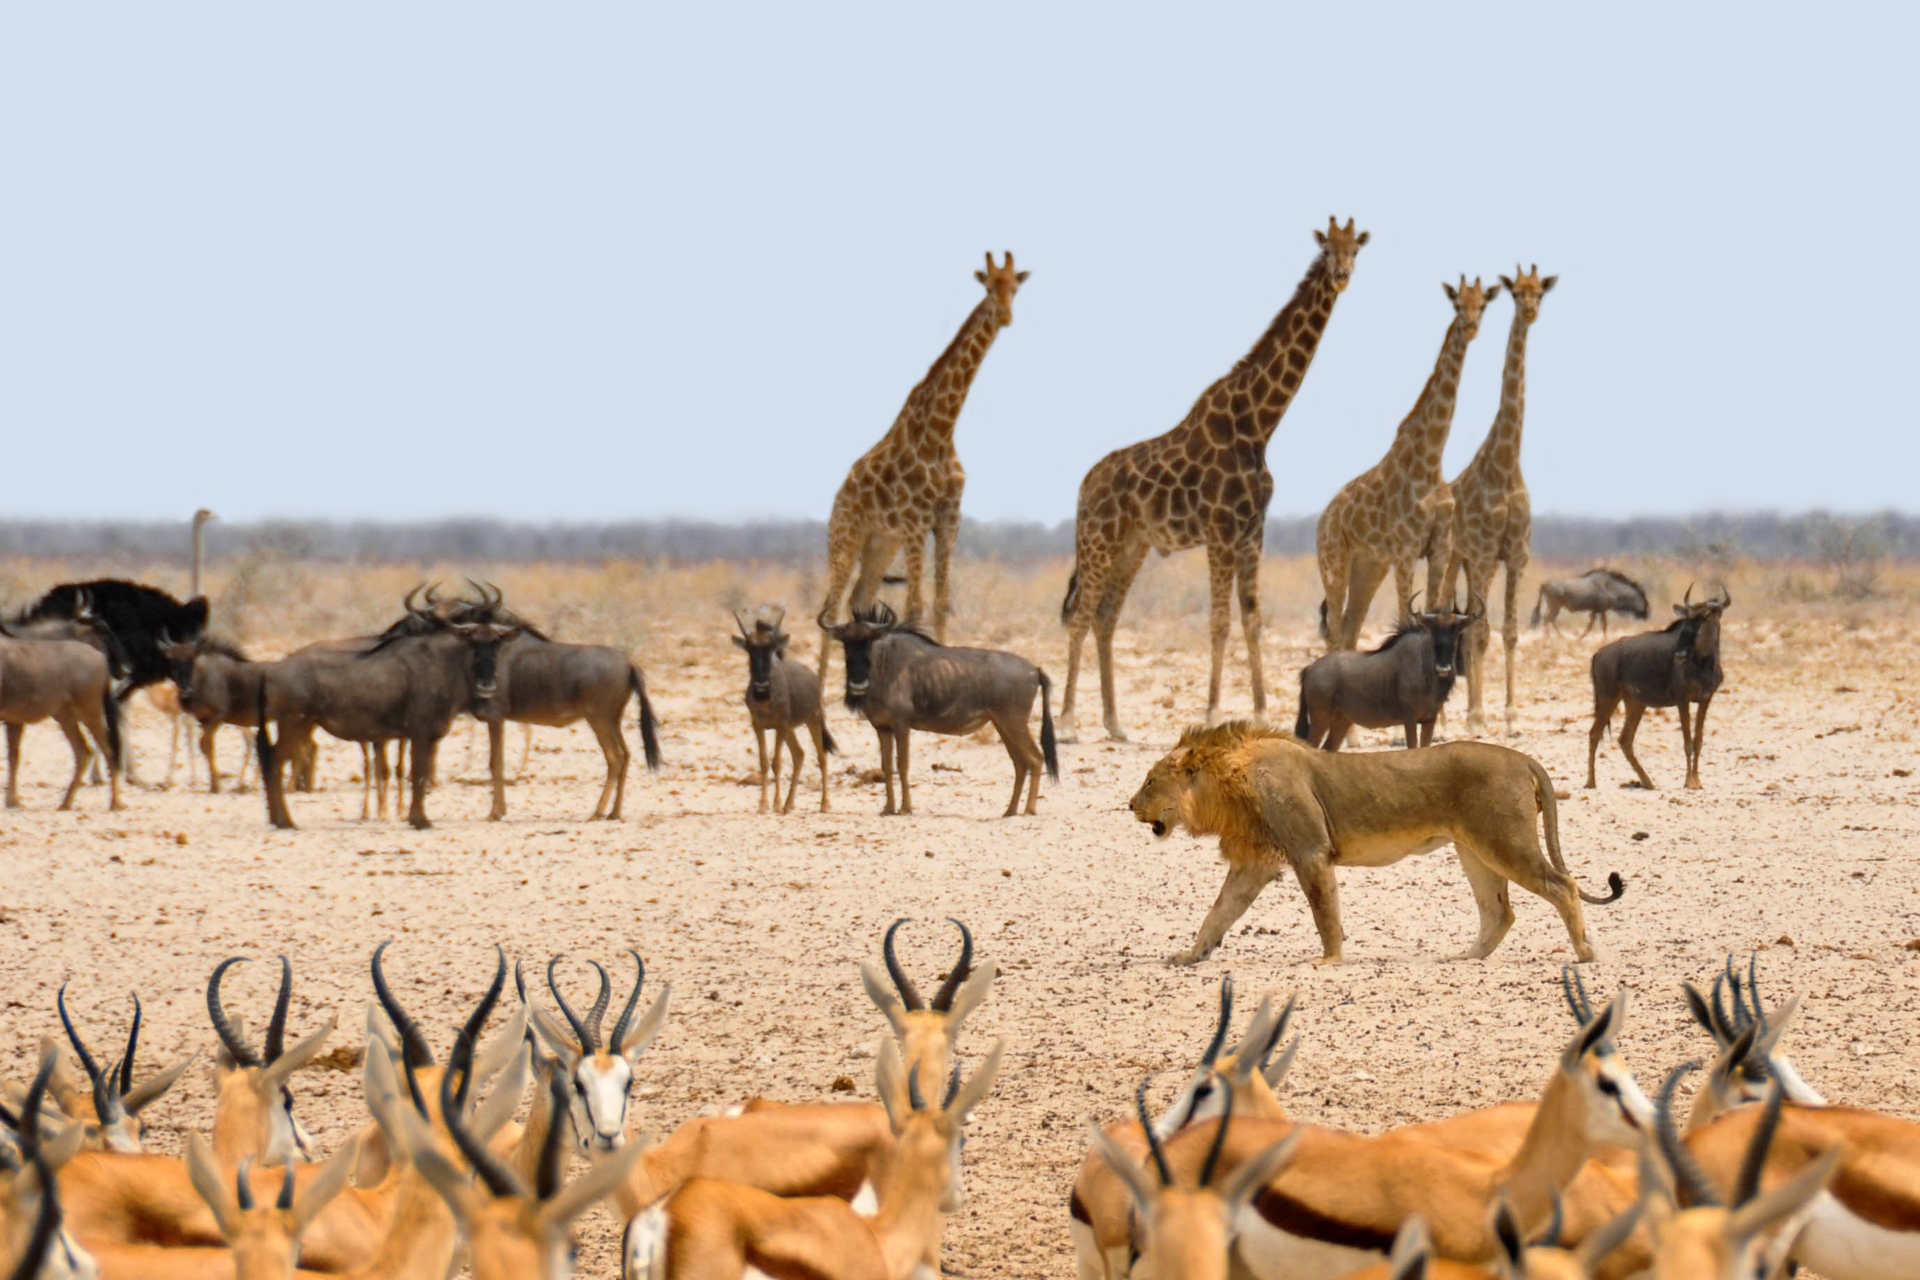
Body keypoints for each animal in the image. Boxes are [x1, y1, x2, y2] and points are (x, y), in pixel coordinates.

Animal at [817, 243, 1029, 675]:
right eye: (989, 288)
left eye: (1014, 288)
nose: (1005, 316)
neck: (942, 430)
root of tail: (839, 496)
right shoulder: (916, 521)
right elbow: (915, 605)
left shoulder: (948, 518)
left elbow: (941, 604)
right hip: (846, 537)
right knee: (829, 609)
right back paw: (818, 686)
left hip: (881, 543)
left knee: (859, 601)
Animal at [1052, 218, 1367, 740]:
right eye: (1327, 249)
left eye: (1355, 251)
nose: (1342, 275)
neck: (1258, 425)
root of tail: (1084, 486)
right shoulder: (1220, 530)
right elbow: (1219, 621)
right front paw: (1214, 712)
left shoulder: (1252, 531)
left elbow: (1253, 618)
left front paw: (1260, 712)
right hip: (1099, 539)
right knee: (1079, 615)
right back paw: (1069, 722)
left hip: (1132, 546)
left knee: (1105, 617)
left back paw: (1115, 724)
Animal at [1128, 725, 1628, 967]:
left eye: (1150, 781)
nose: (1129, 804)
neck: (1226, 787)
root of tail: (1524, 758)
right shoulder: (1254, 864)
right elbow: (1218, 913)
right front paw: (1190, 955)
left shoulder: (1310, 852)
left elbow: (1324, 912)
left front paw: (1329, 960)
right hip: (1475, 850)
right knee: (1499, 911)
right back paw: (1466, 957)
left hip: (1505, 842)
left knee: (1563, 885)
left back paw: (1585, 953)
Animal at [1320, 270, 1497, 652]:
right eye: (1458, 303)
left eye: (1483, 304)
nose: (1471, 326)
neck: (1430, 460)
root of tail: (1323, 518)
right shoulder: (1405, 551)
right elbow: (1407, 614)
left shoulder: (1439, 549)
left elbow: (1433, 608)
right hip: (1334, 560)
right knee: (1337, 631)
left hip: (1369, 565)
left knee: (1350, 626)